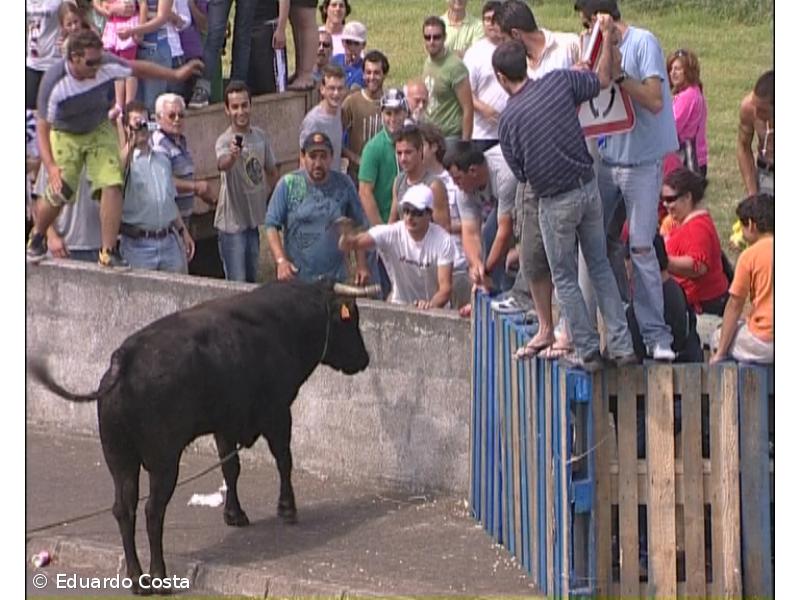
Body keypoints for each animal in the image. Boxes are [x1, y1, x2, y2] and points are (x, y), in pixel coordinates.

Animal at [28, 278, 378, 592]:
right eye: (350, 319)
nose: (365, 358)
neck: (284, 324)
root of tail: (124, 357)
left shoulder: (225, 424)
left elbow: (231, 468)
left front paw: (234, 514)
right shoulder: (278, 412)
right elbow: (284, 459)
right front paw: (287, 508)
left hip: (119, 458)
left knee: (124, 508)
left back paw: (137, 578)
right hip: (164, 461)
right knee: (153, 511)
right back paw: (158, 576)